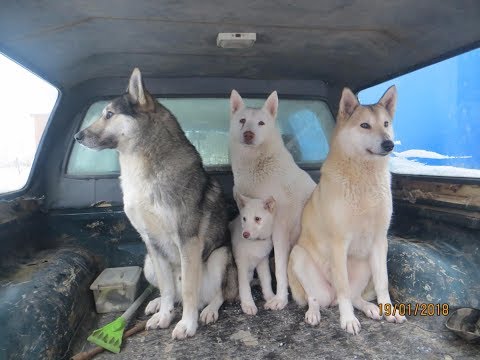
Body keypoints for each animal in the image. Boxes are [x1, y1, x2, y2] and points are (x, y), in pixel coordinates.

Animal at [228, 90, 316, 310]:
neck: (257, 165)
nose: (248, 134)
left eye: (261, 123)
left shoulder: (279, 231)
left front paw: (280, 299)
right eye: (242, 120)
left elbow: (279, 269)